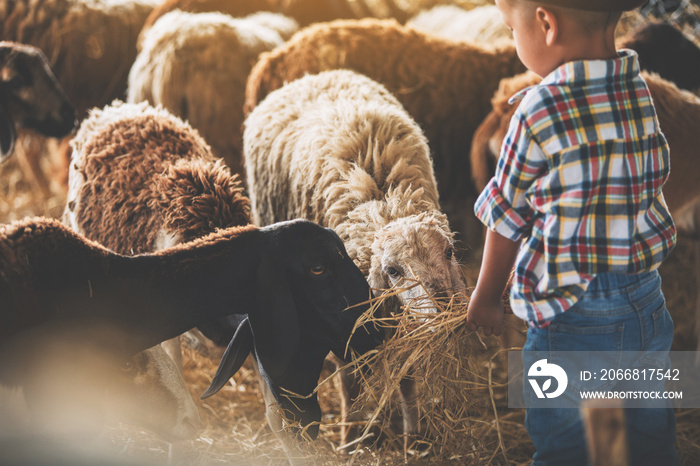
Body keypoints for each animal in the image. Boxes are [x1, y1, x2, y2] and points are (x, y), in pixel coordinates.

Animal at [243, 69, 468, 452]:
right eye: (392, 271)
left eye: (449, 253)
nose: (445, 313)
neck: (385, 200)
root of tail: (312, 76)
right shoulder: (340, 314)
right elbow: (349, 380)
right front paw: (351, 437)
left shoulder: (400, 322)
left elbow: (406, 378)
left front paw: (413, 437)